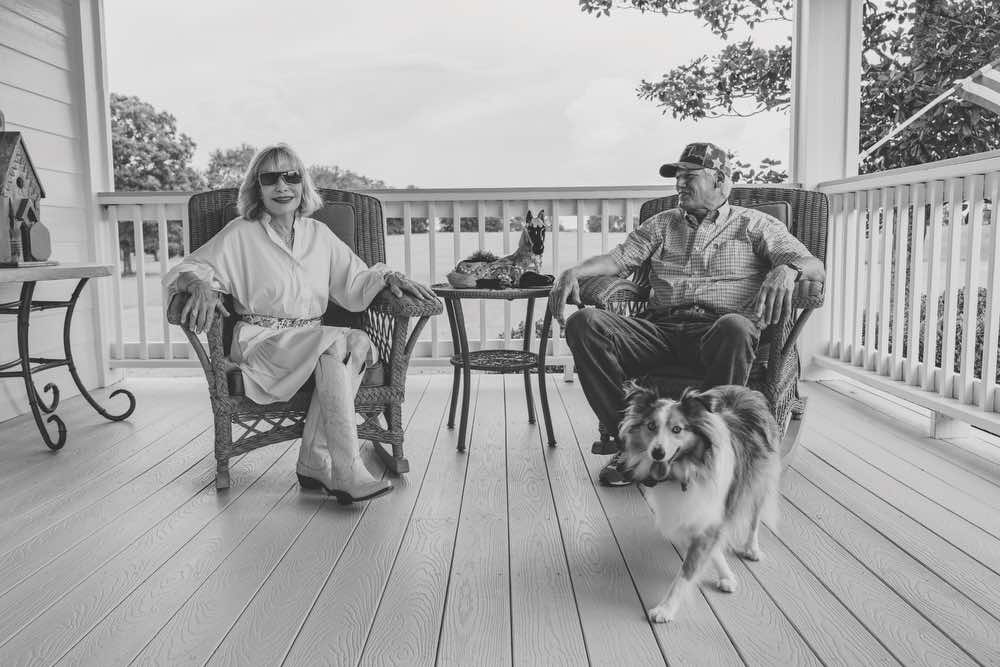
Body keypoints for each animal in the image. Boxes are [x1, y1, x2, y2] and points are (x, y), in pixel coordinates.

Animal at [616, 384, 780, 624]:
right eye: (651, 426)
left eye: (677, 429)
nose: (657, 453)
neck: (687, 470)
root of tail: (744, 390)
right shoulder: (692, 516)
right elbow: (709, 549)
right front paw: (727, 576)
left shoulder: (710, 514)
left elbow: (685, 573)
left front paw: (665, 609)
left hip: (757, 482)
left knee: (754, 520)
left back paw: (752, 548)